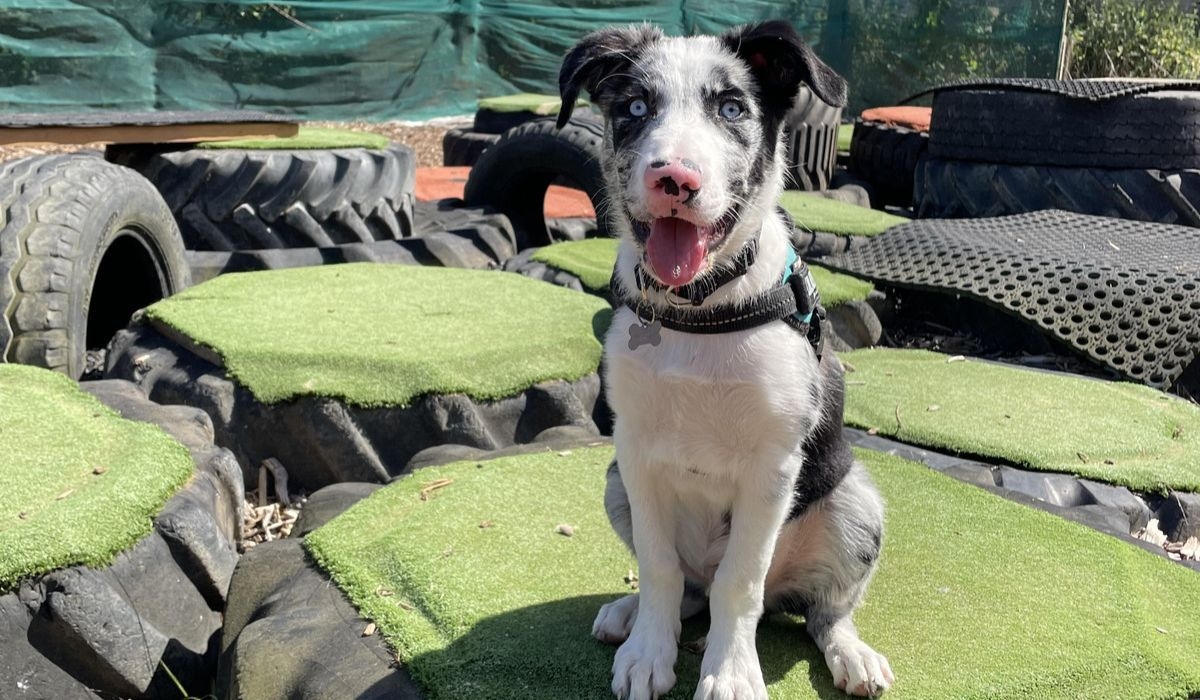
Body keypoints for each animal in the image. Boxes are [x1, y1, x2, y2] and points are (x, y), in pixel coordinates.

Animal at [556, 21, 897, 700]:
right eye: (635, 107)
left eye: (733, 109)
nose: (675, 179)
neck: (701, 304)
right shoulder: (635, 451)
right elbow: (659, 567)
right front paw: (648, 653)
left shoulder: (772, 463)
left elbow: (739, 583)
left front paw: (732, 673)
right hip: (615, 484)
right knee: (691, 588)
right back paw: (629, 616)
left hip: (855, 502)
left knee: (819, 611)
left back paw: (852, 654)